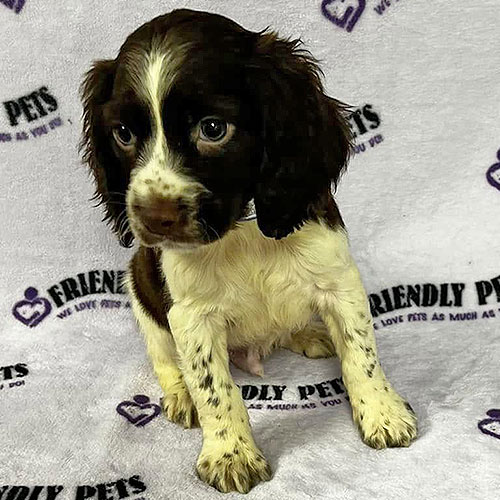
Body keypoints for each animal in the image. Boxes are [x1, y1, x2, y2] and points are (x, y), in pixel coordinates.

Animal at [81, 9, 418, 494]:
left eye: (213, 128)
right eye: (123, 134)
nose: (153, 217)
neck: (240, 233)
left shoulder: (340, 280)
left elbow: (362, 354)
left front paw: (383, 412)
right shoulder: (190, 315)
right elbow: (213, 387)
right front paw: (230, 454)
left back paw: (309, 334)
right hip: (139, 291)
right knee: (165, 359)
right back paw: (179, 396)